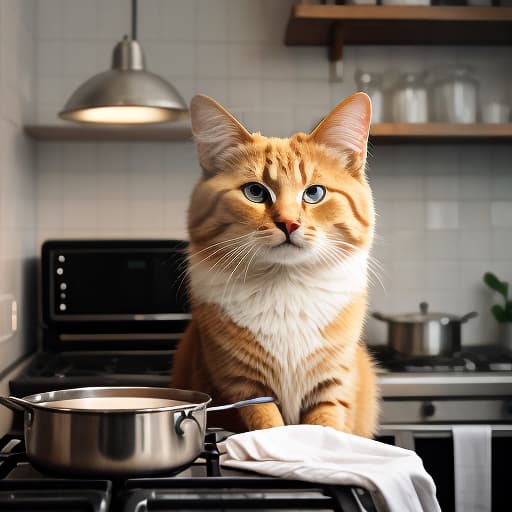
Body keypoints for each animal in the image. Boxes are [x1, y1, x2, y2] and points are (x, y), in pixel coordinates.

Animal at [174, 92, 378, 436]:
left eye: (314, 193)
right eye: (255, 192)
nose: (289, 223)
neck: (286, 286)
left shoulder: (332, 386)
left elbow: (326, 428)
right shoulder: (243, 386)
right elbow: (267, 426)